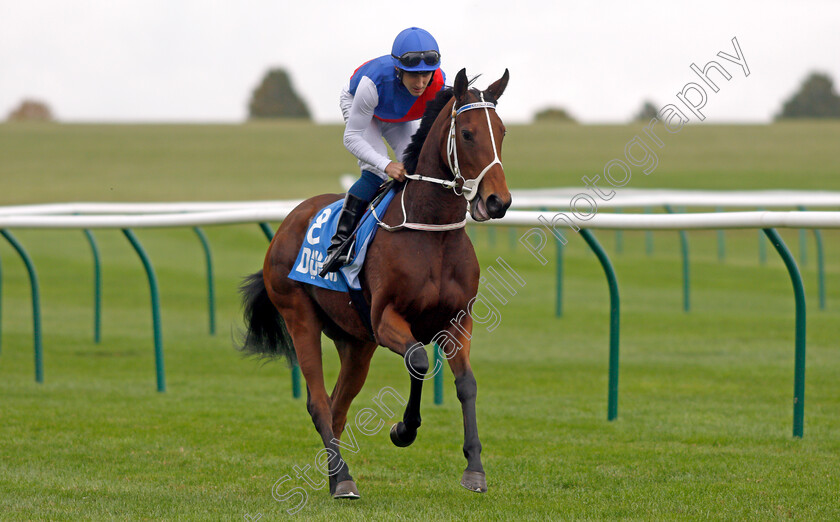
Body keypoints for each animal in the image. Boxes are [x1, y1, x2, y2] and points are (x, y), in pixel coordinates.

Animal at [238, 68, 512, 496]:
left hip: (355, 342)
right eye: (467, 134)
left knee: (337, 405)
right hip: (300, 317)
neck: (432, 234)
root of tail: (289, 221)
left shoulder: (457, 321)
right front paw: (403, 430)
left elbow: (466, 383)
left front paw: (475, 469)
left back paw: (335, 476)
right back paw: (343, 480)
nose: (498, 201)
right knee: (318, 401)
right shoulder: (385, 319)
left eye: (501, 132)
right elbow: (418, 359)